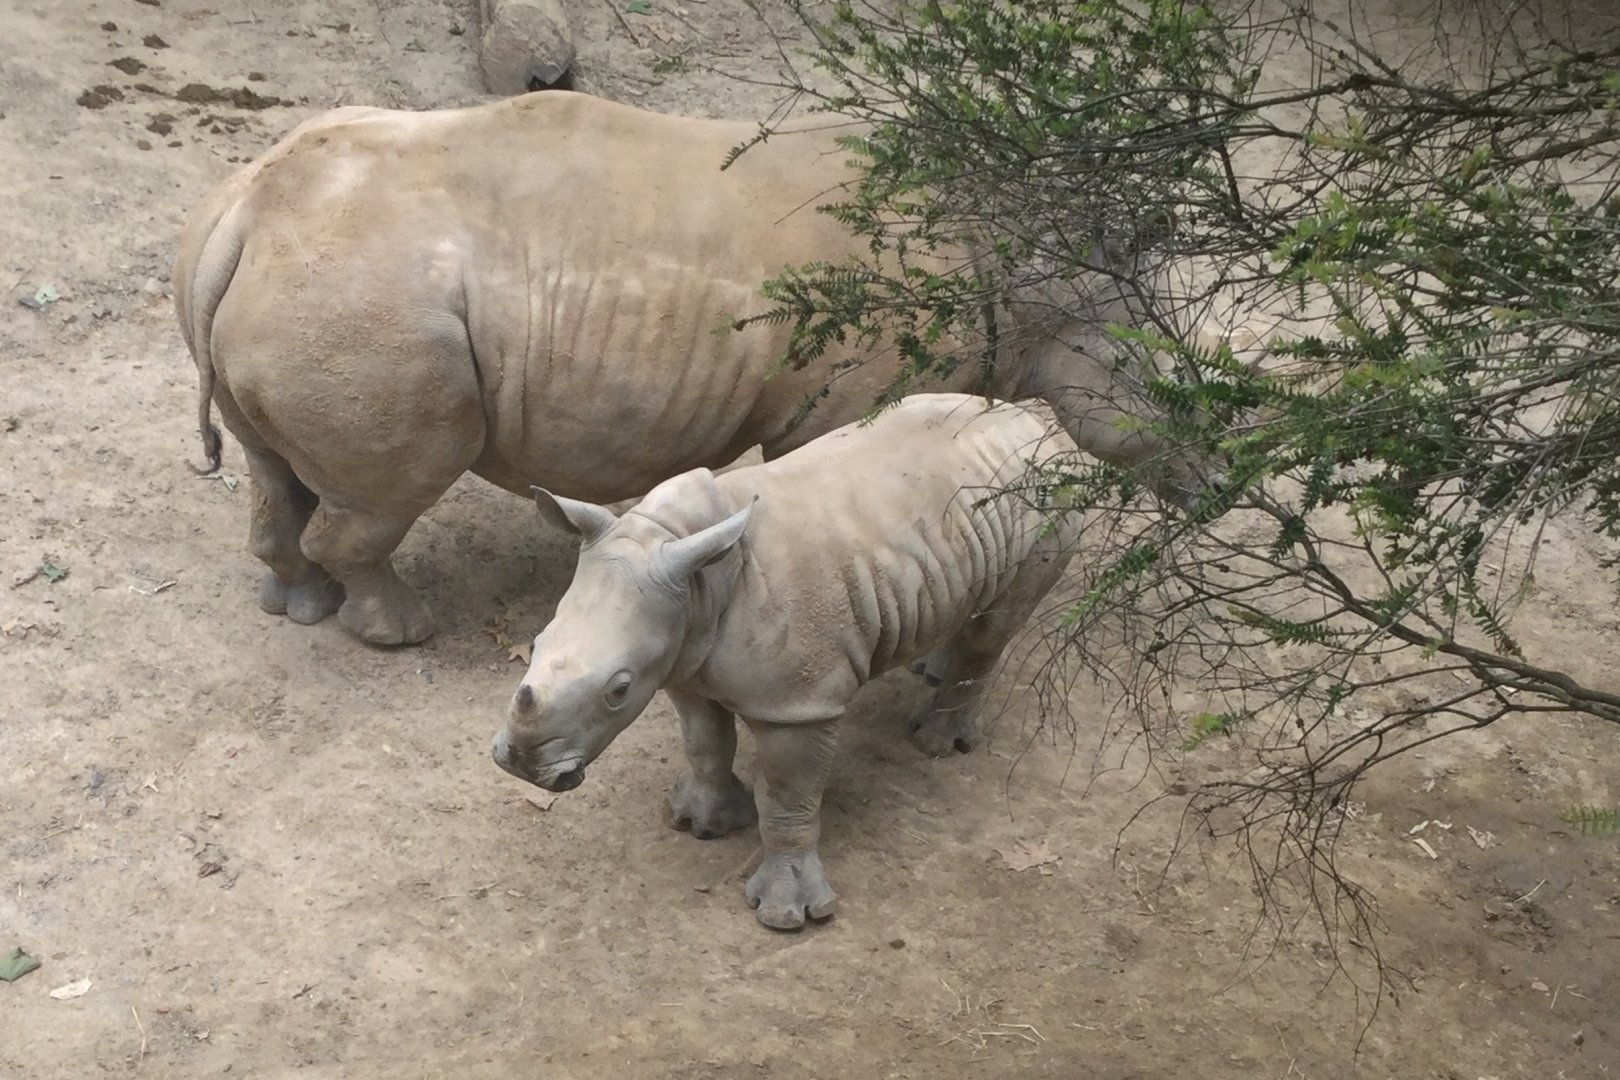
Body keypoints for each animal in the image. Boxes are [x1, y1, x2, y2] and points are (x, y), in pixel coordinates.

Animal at [173, 89, 1202, 646]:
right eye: (1172, 397)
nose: (1221, 482)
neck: (1040, 277)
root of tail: (245, 213)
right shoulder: (851, 398)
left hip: (299, 292)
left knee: (278, 470)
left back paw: (298, 603)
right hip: (362, 309)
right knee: (392, 486)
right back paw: (399, 629)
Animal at [490, 393, 1079, 929]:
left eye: (618, 688)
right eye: (536, 644)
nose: (520, 763)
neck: (697, 575)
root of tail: (1042, 423)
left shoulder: (799, 704)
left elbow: (788, 795)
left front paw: (787, 913)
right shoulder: (684, 658)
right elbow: (705, 742)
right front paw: (698, 822)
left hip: (1048, 502)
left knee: (993, 628)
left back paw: (936, 743)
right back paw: (927, 670)